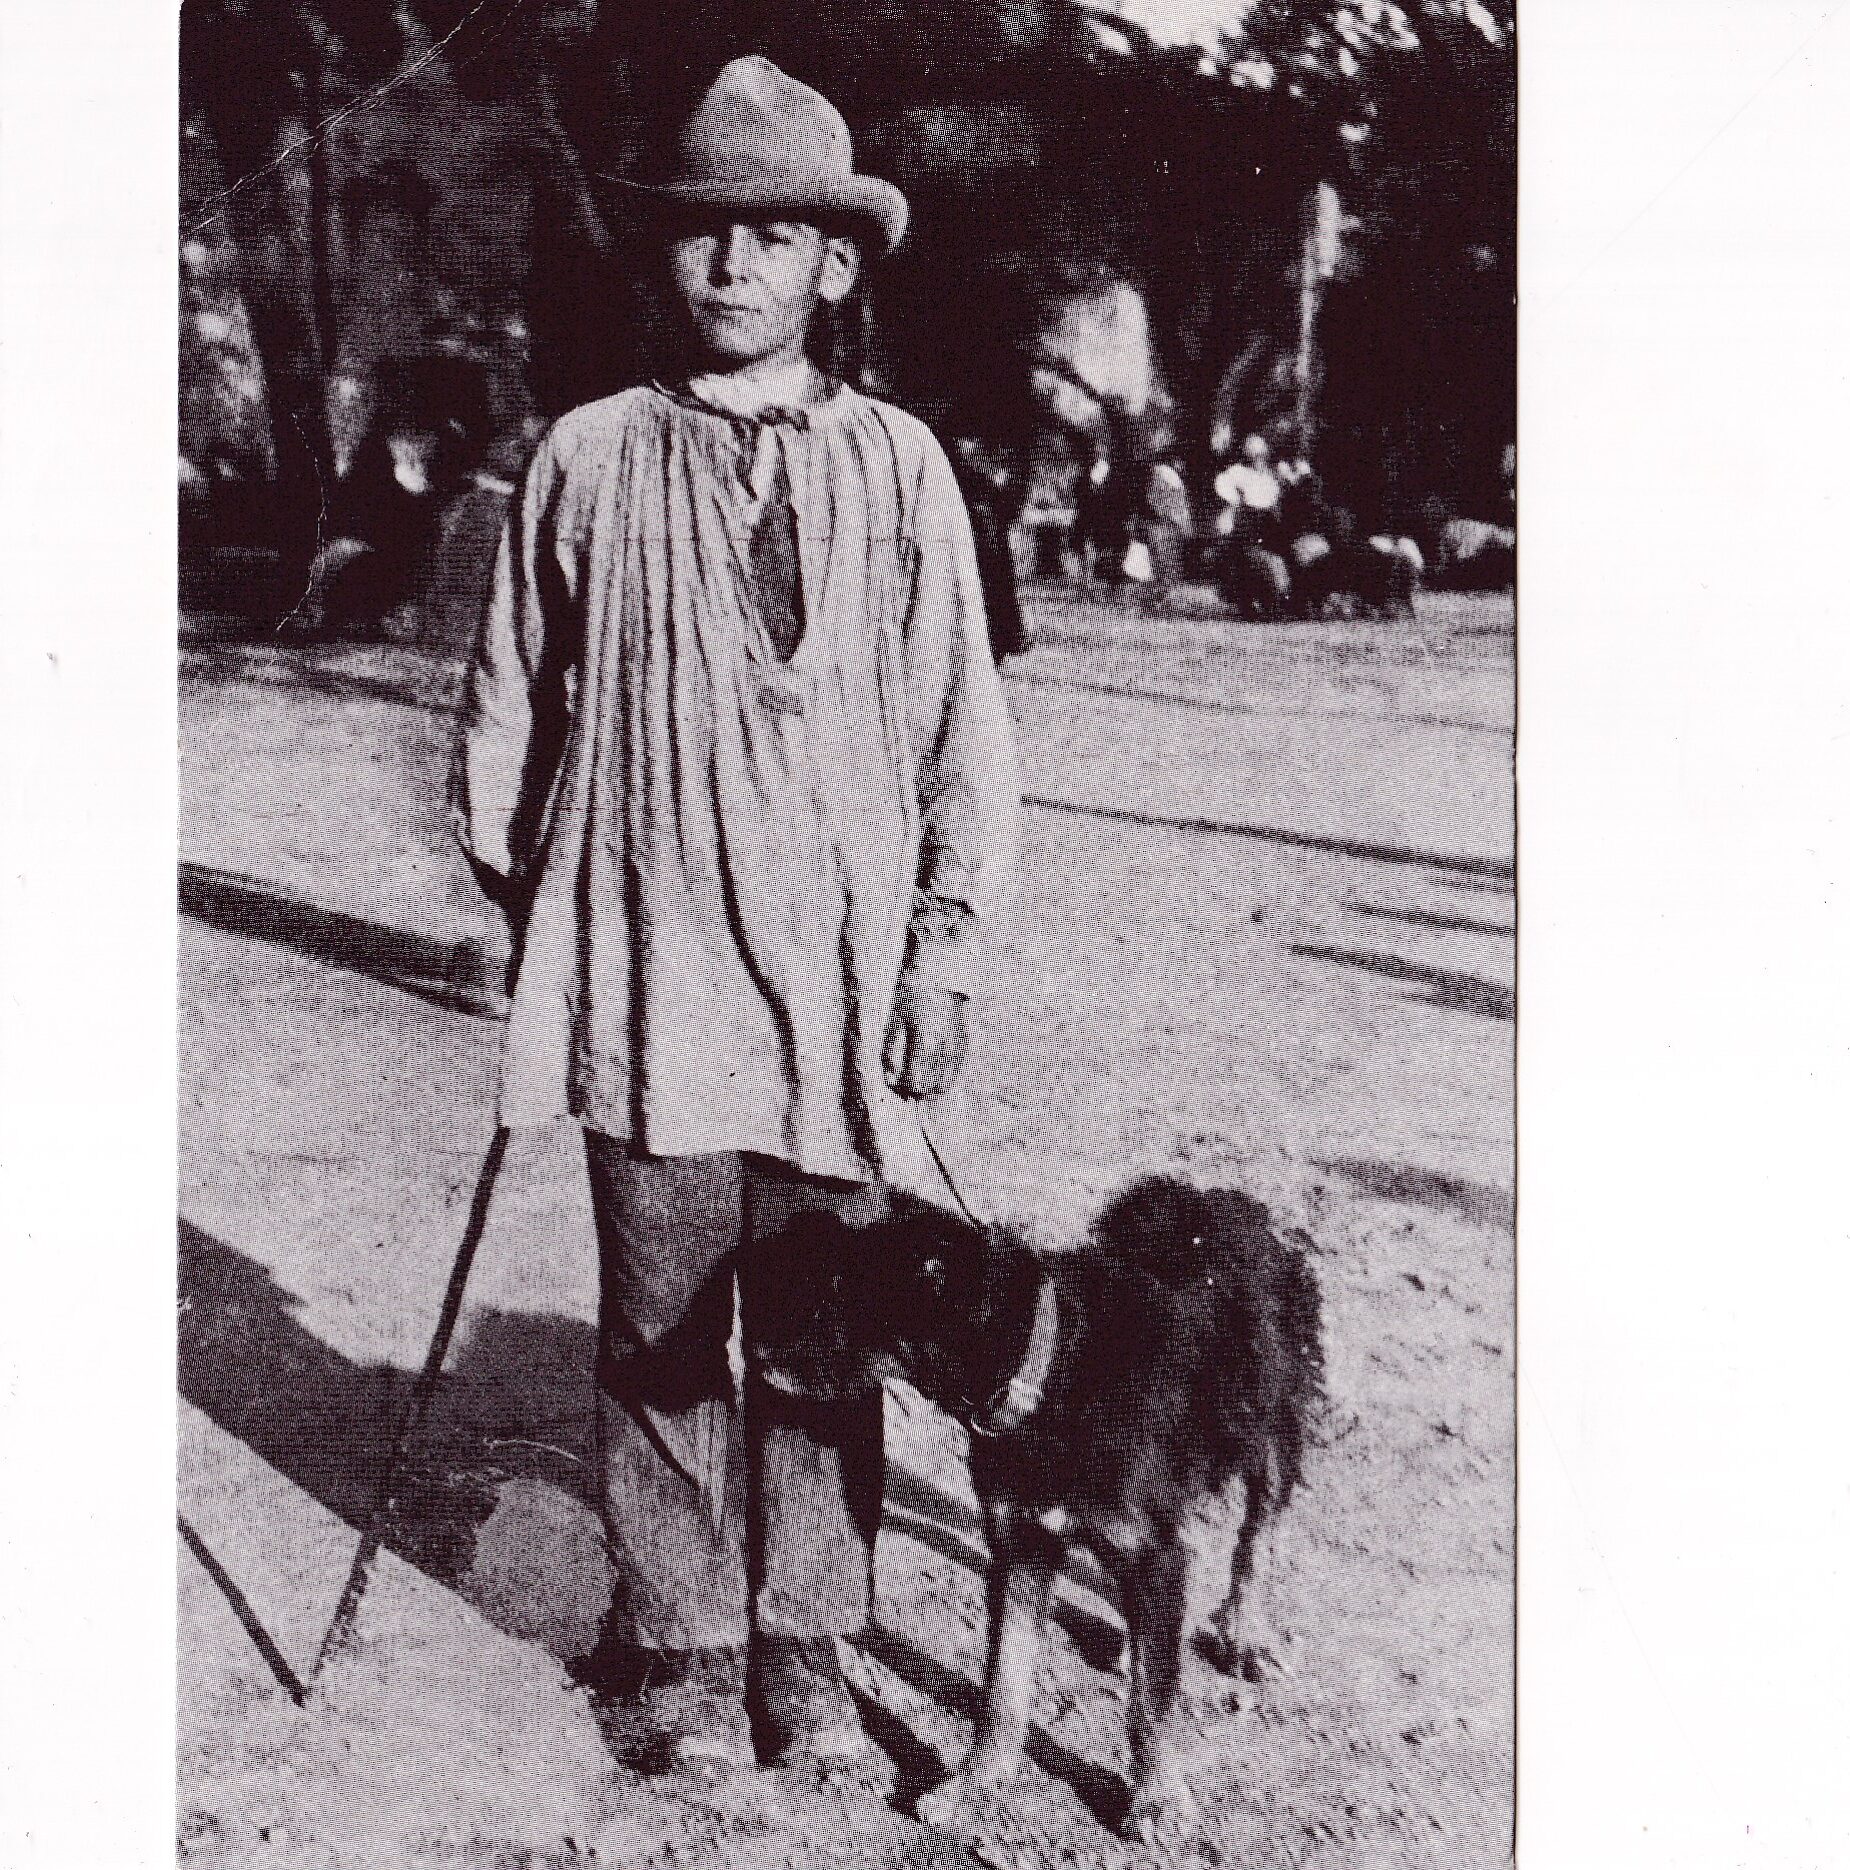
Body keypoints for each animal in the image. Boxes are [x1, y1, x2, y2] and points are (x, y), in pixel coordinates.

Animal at [754, 1174, 1325, 1842]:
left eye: (845, 1291)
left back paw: (1243, 1633)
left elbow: (1149, 1704)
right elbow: (1006, 1678)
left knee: (1257, 1537)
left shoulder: (1152, 1549)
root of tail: (1232, 1204)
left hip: (1274, 1426)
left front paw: (1155, 1796)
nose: (756, 1349)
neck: (1055, 1371)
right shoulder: (1021, 1542)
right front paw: (978, 1780)